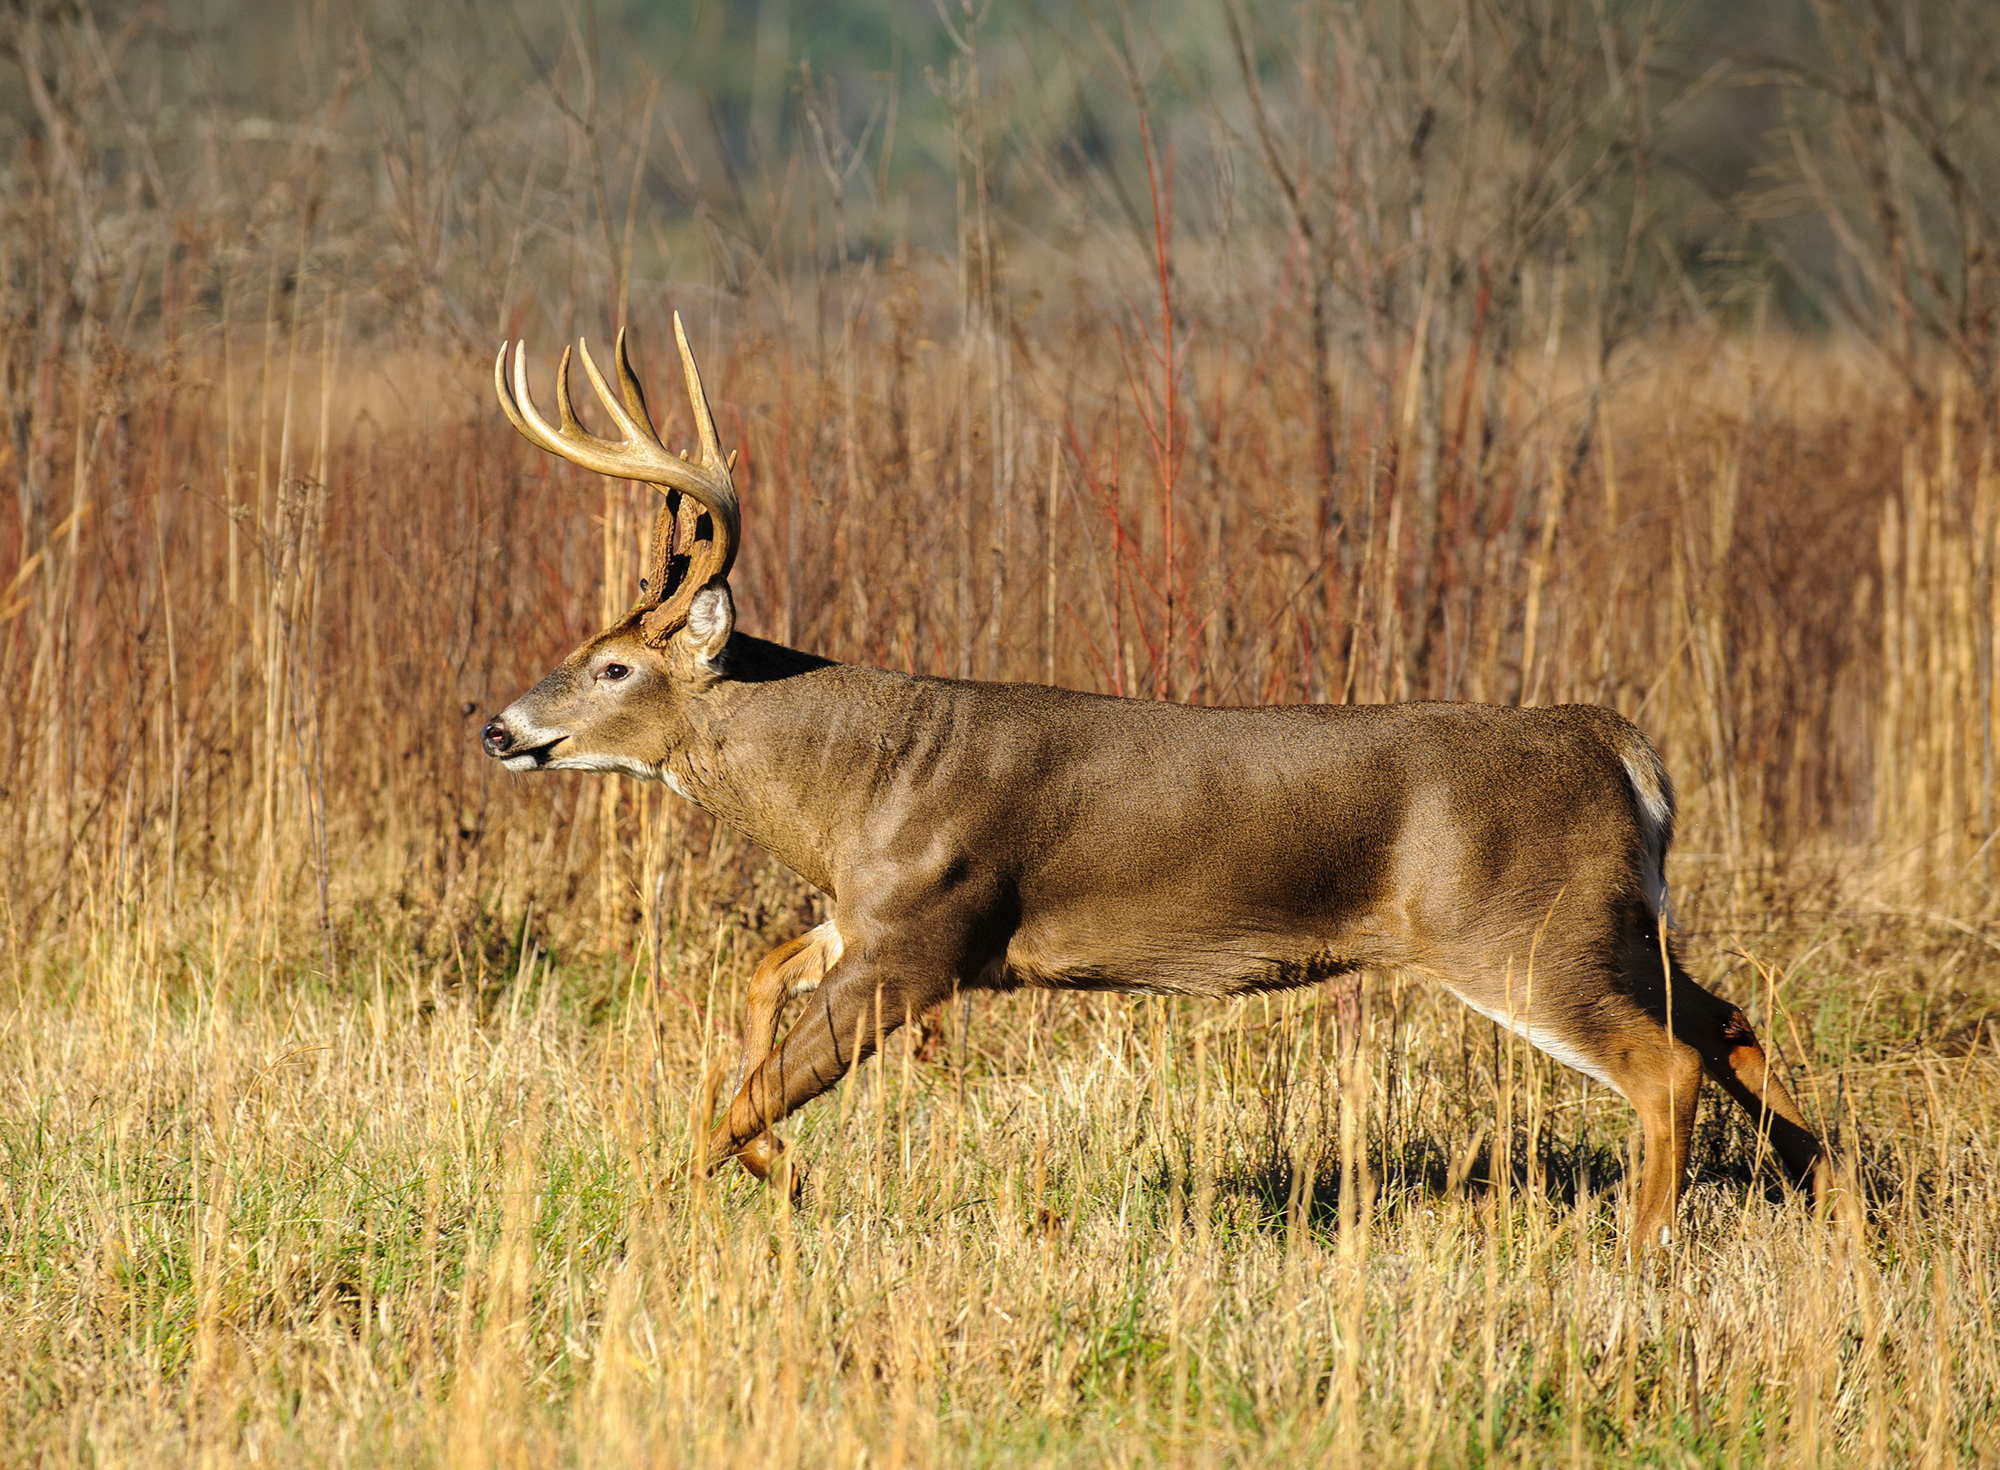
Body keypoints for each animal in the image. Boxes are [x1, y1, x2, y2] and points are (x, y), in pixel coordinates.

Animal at [479, 318, 1832, 1255]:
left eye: (610, 665)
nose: (496, 728)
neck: (850, 790)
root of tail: (1620, 750)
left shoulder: (922, 940)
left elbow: (737, 1101)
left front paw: (657, 1220)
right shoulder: (866, 923)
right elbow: (755, 995)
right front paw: (789, 1179)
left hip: (1519, 932)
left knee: (1666, 1065)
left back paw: (1643, 1252)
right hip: (1615, 920)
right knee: (1728, 1024)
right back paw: (1828, 1195)